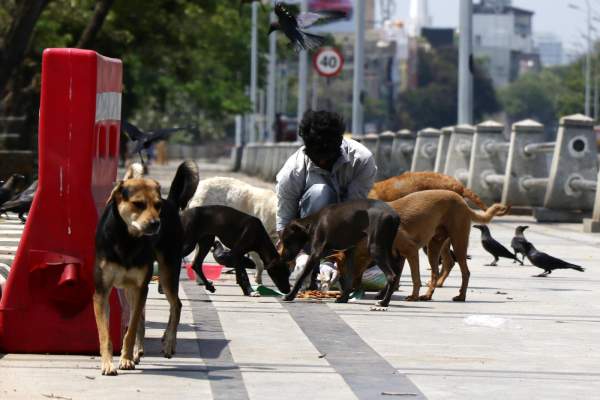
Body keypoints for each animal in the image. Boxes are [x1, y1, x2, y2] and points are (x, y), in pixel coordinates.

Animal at [92, 159, 198, 376]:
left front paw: (125, 358)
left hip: (167, 272)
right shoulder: (101, 291)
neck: (126, 239)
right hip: (131, 289)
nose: (156, 223)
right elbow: (105, 333)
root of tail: (170, 202)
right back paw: (137, 351)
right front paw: (108, 363)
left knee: (176, 305)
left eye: (157, 206)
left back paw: (168, 343)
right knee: (141, 316)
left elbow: (131, 329)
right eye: (138, 204)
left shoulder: (141, 287)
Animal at [336, 190, 508, 304]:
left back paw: (461, 296)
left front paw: (412, 296)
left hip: (458, 243)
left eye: (342, 271)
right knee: (436, 272)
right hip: (434, 246)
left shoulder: (410, 251)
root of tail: (462, 201)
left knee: (465, 272)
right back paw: (427, 295)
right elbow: (395, 277)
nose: (343, 291)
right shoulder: (399, 257)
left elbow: (415, 277)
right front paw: (384, 295)